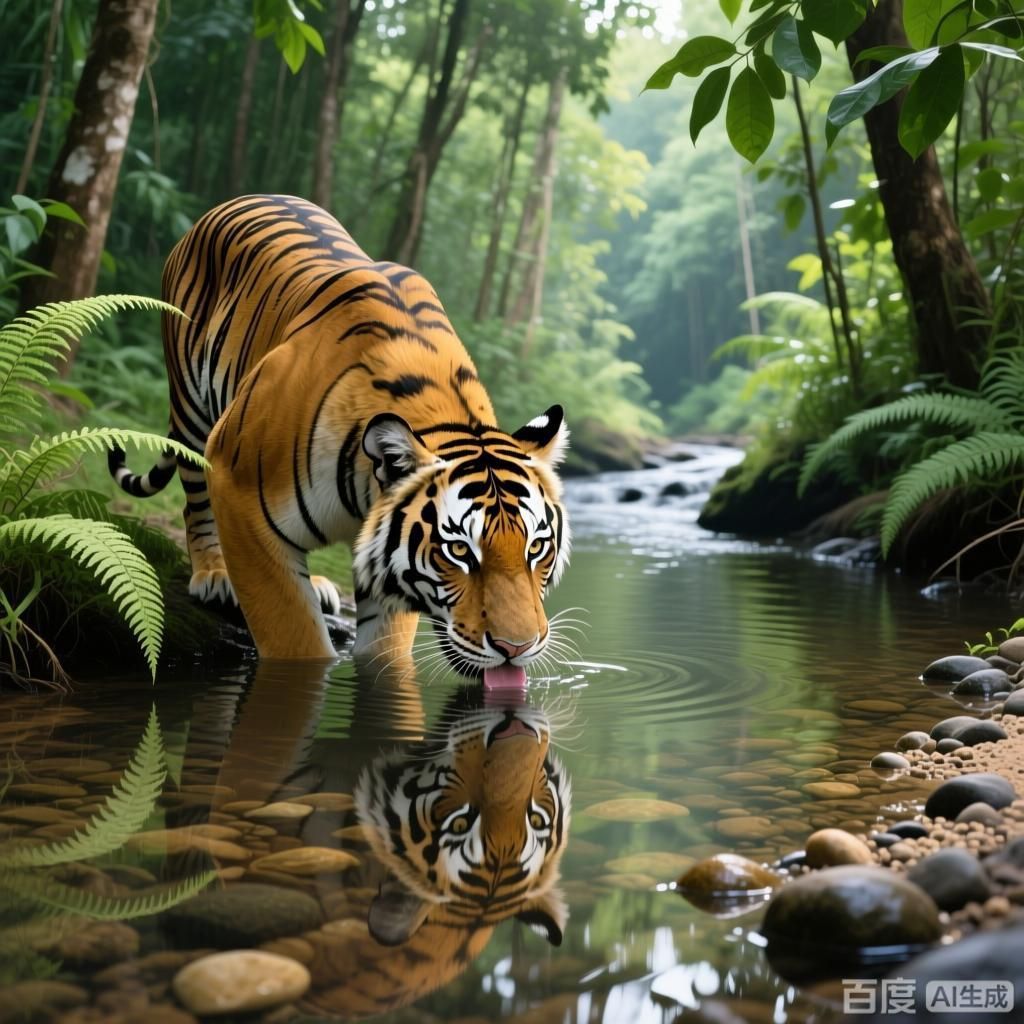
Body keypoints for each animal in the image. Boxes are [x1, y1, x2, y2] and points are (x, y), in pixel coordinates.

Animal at [108, 194, 571, 677]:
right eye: (459, 550)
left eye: (537, 547)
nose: (517, 647)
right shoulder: (237, 487)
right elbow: (291, 630)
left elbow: (384, 648)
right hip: (194, 415)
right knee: (194, 501)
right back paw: (214, 575)